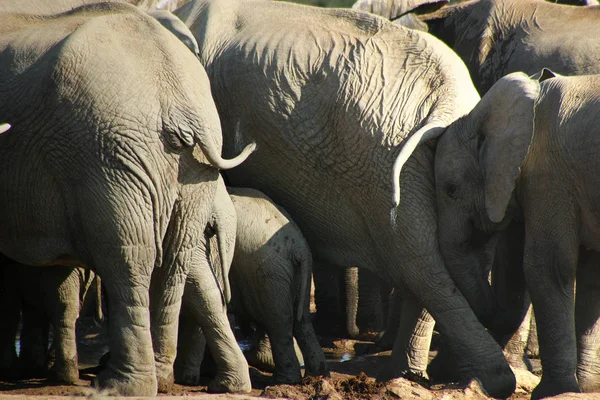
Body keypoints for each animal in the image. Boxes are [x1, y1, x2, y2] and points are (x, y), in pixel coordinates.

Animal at [0, 3, 252, 396]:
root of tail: (178, 99)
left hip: (105, 155)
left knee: (128, 257)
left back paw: (119, 385)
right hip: (189, 167)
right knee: (174, 259)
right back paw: (175, 379)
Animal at [428, 70, 600, 398]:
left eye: (451, 190)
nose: (434, 373)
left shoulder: (549, 174)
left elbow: (546, 266)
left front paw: (553, 392)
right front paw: (586, 387)